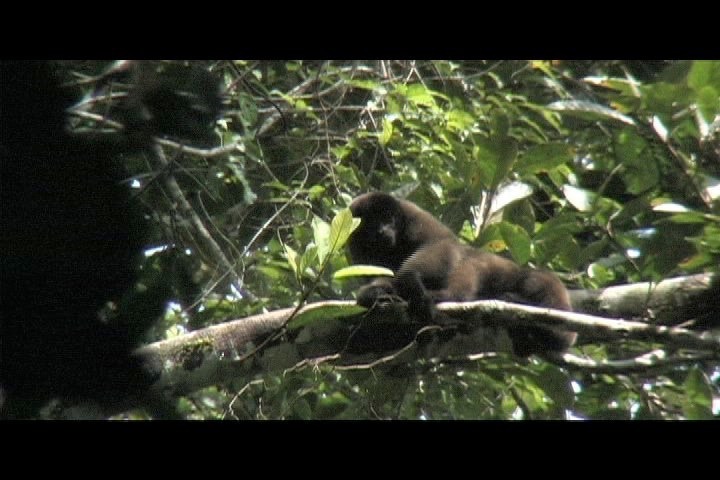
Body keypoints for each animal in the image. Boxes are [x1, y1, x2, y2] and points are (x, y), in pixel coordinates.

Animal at [346, 192, 576, 356]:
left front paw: (411, 283)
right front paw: (376, 293)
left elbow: (439, 243)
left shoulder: (413, 216)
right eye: (372, 223)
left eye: (388, 219)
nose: (383, 230)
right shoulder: (355, 244)